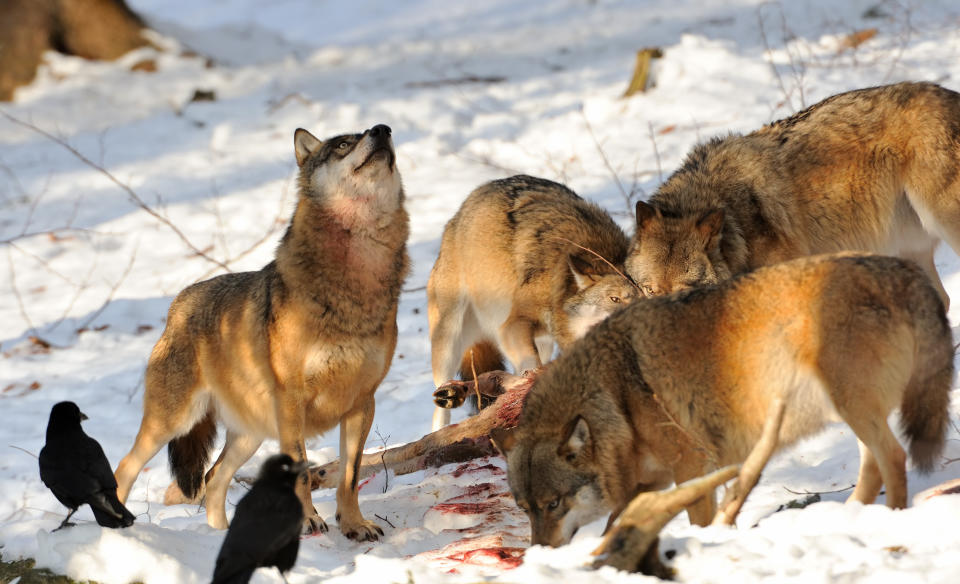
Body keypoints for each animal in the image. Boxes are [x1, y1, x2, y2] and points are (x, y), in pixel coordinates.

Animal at [113, 124, 408, 544]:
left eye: (381, 134)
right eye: (342, 144)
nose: (383, 130)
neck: (356, 280)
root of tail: (177, 304)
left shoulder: (363, 402)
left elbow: (349, 476)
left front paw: (354, 525)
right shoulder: (292, 402)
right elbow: (302, 471)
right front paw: (308, 522)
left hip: (248, 436)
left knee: (213, 479)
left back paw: (219, 538)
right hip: (173, 423)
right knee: (125, 467)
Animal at [428, 176, 636, 432]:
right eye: (614, 299)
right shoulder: (512, 324)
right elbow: (530, 363)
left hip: (542, 343)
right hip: (448, 341)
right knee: (439, 407)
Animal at [492, 253, 956, 544]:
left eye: (554, 503)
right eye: (525, 508)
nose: (539, 551)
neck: (613, 394)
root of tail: (901, 268)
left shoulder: (690, 468)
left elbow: (693, 520)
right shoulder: (651, 482)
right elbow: (614, 525)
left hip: (853, 406)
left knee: (893, 458)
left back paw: (889, 522)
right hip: (851, 411)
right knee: (873, 467)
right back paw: (846, 520)